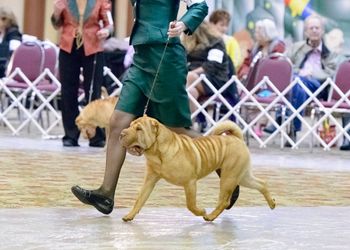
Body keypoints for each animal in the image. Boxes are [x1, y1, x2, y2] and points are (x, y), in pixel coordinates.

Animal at [120, 115, 276, 221]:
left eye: (139, 129)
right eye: (130, 125)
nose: (122, 133)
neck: (158, 152)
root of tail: (237, 138)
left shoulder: (190, 182)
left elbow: (191, 205)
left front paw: (202, 212)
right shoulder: (150, 179)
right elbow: (140, 199)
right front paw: (129, 215)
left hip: (229, 177)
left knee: (224, 201)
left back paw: (210, 216)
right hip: (242, 176)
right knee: (261, 184)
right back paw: (272, 203)